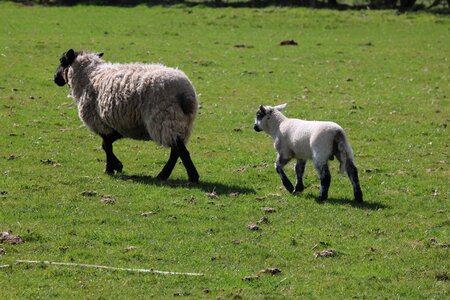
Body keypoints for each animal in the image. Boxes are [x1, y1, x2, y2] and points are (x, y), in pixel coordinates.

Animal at [53, 48, 200, 183]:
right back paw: (171, 175)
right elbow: (108, 143)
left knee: (179, 150)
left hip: (165, 119)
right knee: (177, 150)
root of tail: (185, 93)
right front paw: (116, 166)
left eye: (62, 60)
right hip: (183, 123)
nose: (55, 79)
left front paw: (111, 169)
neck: (89, 76)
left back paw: (183, 176)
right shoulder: (118, 125)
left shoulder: (101, 123)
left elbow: (106, 146)